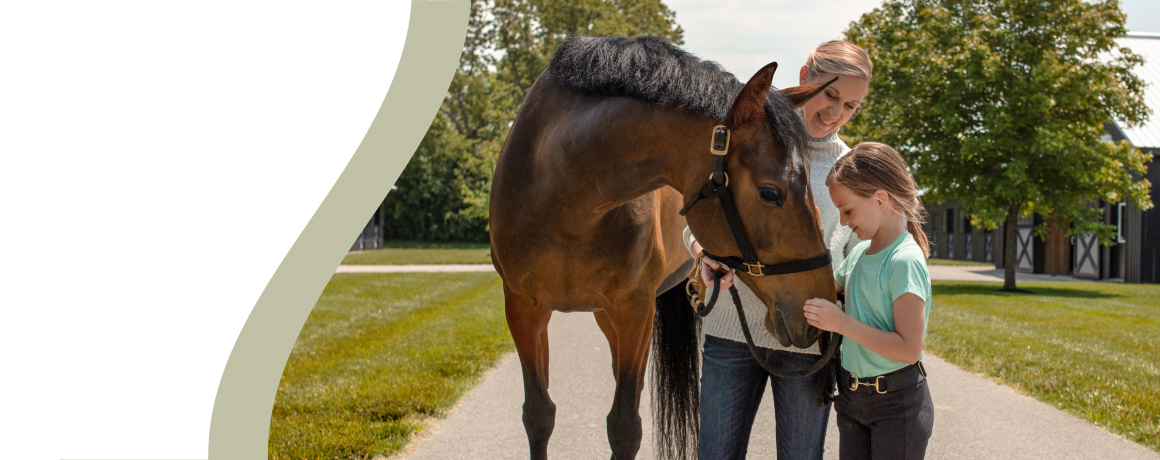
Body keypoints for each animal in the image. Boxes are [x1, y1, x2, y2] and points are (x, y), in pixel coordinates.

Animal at [488, 35, 839, 460]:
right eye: (771, 193)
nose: (821, 311)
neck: (562, 194)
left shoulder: (635, 310)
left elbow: (624, 426)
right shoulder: (523, 308)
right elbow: (539, 414)